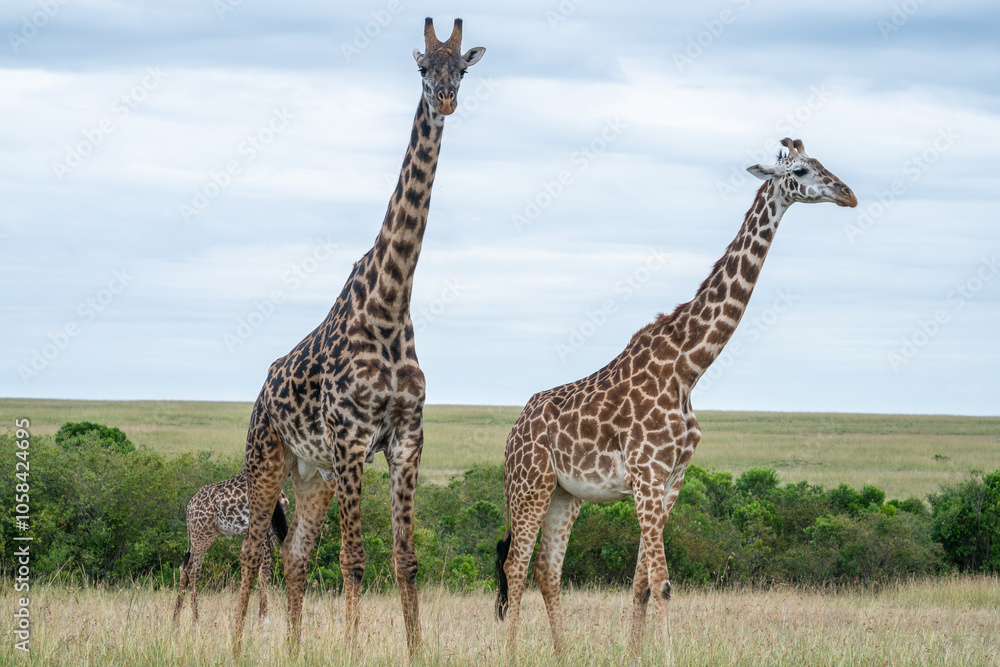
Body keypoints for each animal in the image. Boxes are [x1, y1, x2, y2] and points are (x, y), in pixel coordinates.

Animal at [172, 470, 289, 625]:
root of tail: (189, 507)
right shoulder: (267, 531)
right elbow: (264, 573)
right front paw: (263, 620)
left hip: (202, 533)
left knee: (184, 567)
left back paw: (176, 620)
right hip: (203, 533)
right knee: (193, 568)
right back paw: (196, 620)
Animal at [231, 18, 485, 660]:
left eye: (462, 68)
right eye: (422, 66)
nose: (445, 99)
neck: (391, 305)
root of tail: (260, 392)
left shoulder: (405, 439)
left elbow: (405, 559)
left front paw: (417, 650)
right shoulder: (351, 440)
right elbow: (354, 559)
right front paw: (352, 648)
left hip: (312, 474)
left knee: (293, 557)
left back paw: (294, 650)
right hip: (267, 458)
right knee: (251, 551)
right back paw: (237, 644)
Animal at [494, 138, 857, 661]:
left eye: (824, 162)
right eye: (804, 170)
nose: (848, 194)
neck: (689, 367)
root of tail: (512, 432)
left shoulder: (671, 480)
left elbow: (642, 582)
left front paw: (633, 656)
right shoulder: (647, 475)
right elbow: (663, 582)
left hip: (567, 494)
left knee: (547, 570)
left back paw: (562, 656)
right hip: (530, 486)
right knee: (515, 568)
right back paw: (512, 654)